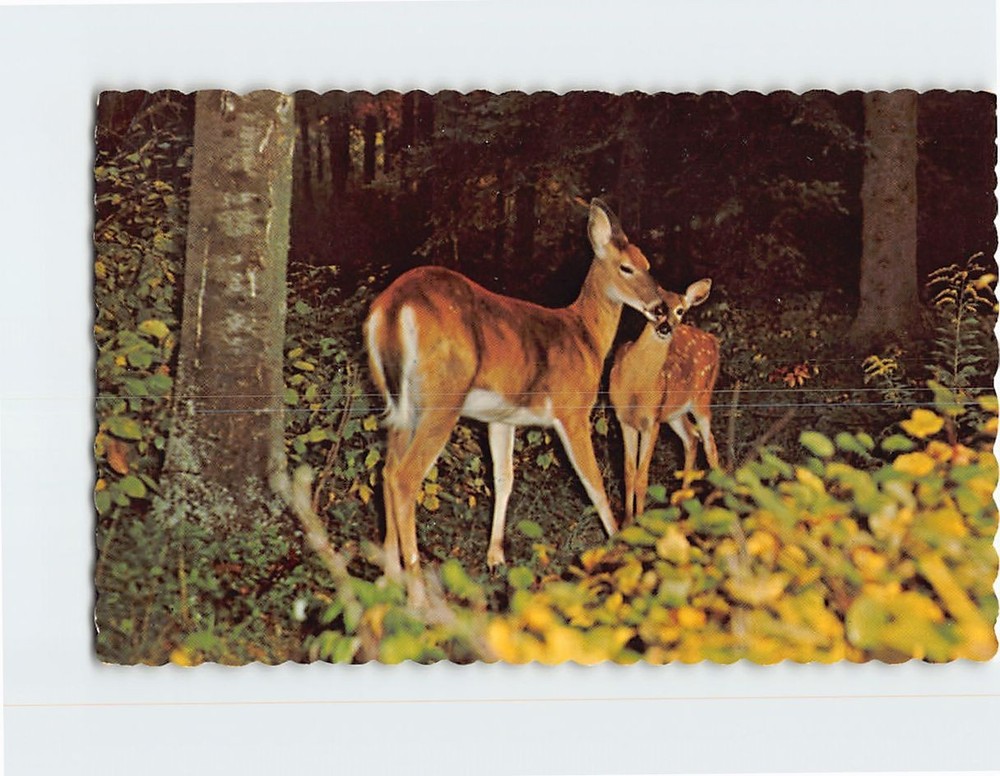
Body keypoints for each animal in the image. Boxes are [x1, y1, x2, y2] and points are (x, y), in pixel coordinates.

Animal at [364, 199, 667, 605]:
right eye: (627, 267)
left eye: (648, 264)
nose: (660, 307)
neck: (586, 337)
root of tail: (395, 305)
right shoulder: (573, 409)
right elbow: (594, 483)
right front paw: (618, 544)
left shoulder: (501, 417)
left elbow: (504, 477)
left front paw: (495, 558)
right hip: (442, 399)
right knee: (404, 477)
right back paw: (416, 597)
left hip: (399, 404)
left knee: (386, 469)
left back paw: (387, 579)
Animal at [609, 278, 720, 525]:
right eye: (657, 308)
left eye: (680, 310)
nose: (665, 328)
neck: (636, 386)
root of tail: (713, 340)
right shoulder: (624, 420)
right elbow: (628, 472)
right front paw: (626, 523)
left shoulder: (652, 421)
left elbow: (642, 476)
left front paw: (640, 522)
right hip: (674, 413)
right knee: (692, 437)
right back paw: (679, 503)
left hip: (702, 397)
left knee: (709, 442)